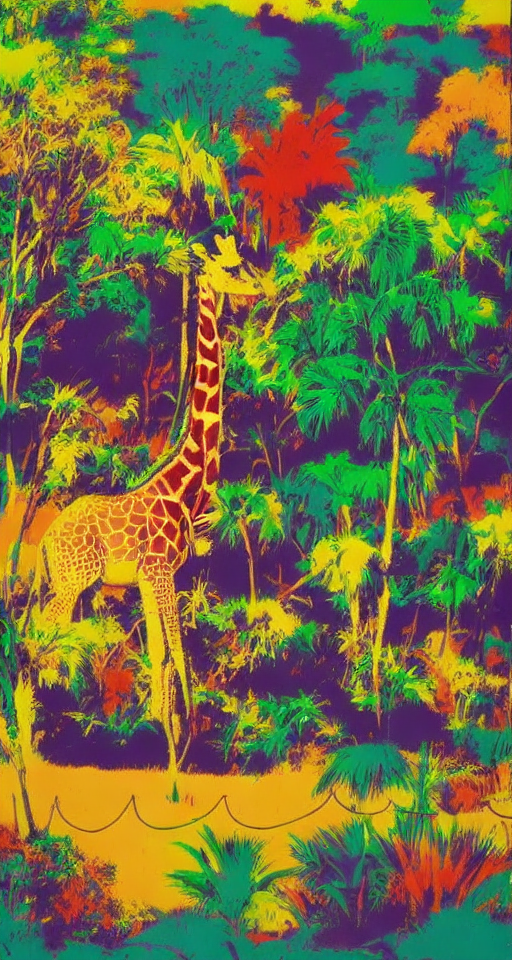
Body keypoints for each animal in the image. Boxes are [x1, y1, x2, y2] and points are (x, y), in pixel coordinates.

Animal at [26, 276, 232, 774]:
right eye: (226, 269)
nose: (249, 285)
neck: (183, 483)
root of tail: (44, 542)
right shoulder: (160, 571)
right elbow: (176, 650)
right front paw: (181, 749)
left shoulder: (150, 577)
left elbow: (160, 652)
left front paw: (166, 741)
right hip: (74, 581)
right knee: (44, 631)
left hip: (67, 582)